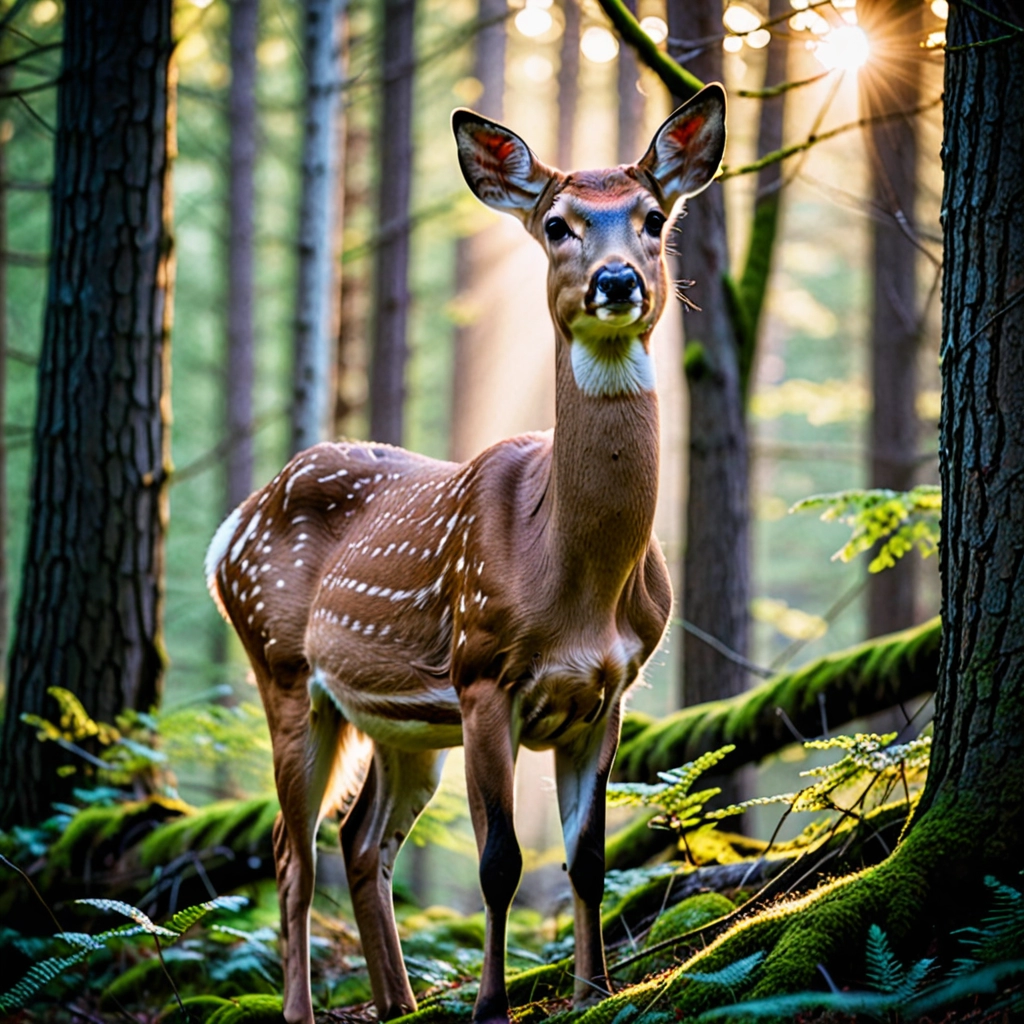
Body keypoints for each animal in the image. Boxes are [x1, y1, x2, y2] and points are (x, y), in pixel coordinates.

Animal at [203, 83, 724, 1019]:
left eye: (653, 217)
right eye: (557, 224)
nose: (617, 280)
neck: (574, 584)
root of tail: (232, 526)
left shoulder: (610, 691)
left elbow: (587, 861)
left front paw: (593, 989)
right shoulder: (484, 674)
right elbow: (500, 863)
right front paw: (492, 1005)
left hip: (404, 722)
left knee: (360, 839)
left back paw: (400, 1003)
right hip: (284, 669)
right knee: (292, 852)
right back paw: (306, 1007)